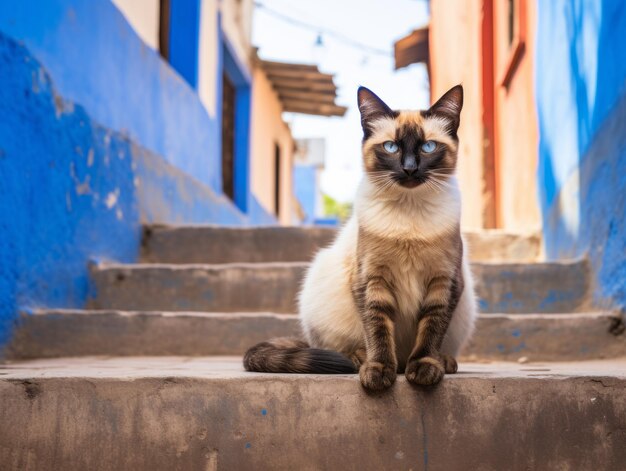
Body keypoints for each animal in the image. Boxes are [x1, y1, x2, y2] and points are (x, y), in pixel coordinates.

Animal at [241, 85, 476, 390]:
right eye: (391, 147)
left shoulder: (443, 283)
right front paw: (378, 372)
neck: (409, 211)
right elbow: (378, 332)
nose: (410, 168)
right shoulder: (372, 280)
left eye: (428, 147)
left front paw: (425, 367)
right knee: (341, 348)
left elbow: (430, 333)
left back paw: (442, 363)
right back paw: (360, 359)